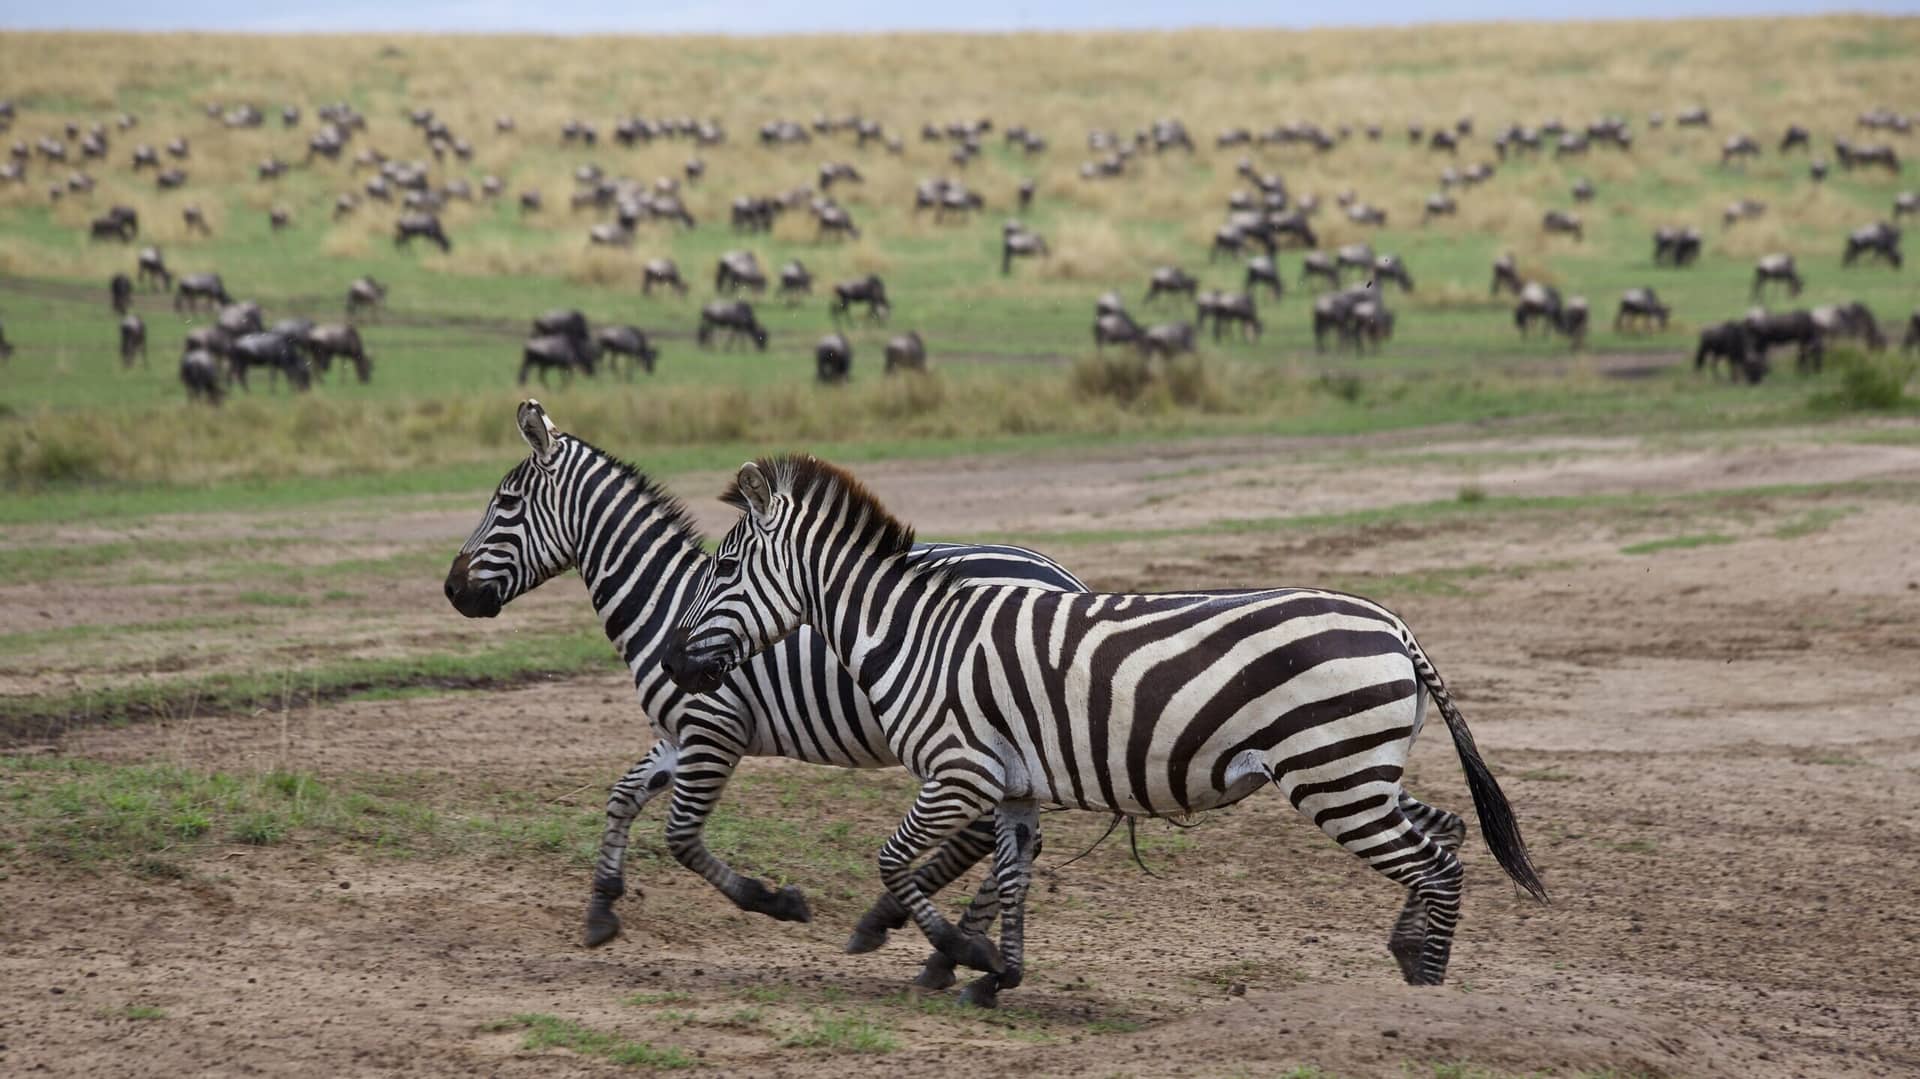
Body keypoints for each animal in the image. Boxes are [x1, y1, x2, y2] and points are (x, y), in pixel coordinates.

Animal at [442, 402, 1089, 987]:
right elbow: (622, 797)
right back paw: (937, 946)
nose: (451, 590)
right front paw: (602, 906)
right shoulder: (678, 735)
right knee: (1012, 840)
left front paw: (776, 901)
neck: (664, 603)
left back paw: (920, 939)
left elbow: (682, 838)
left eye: (505, 503)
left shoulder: (713, 729)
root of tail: (1064, 577)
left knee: (991, 835)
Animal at [664, 456, 1548, 1007]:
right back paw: (1409, 954)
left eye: (724, 569)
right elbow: (1012, 875)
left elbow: (891, 861)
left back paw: (1429, 991)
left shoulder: (959, 770)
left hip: (1333, 777)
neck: (914, 634)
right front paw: (999, 974)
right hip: (1358, 769)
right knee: (1446, 830)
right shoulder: (1012, 784)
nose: (671, 659)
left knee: (1435, 863)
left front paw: (964, 953)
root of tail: (1395, 625)